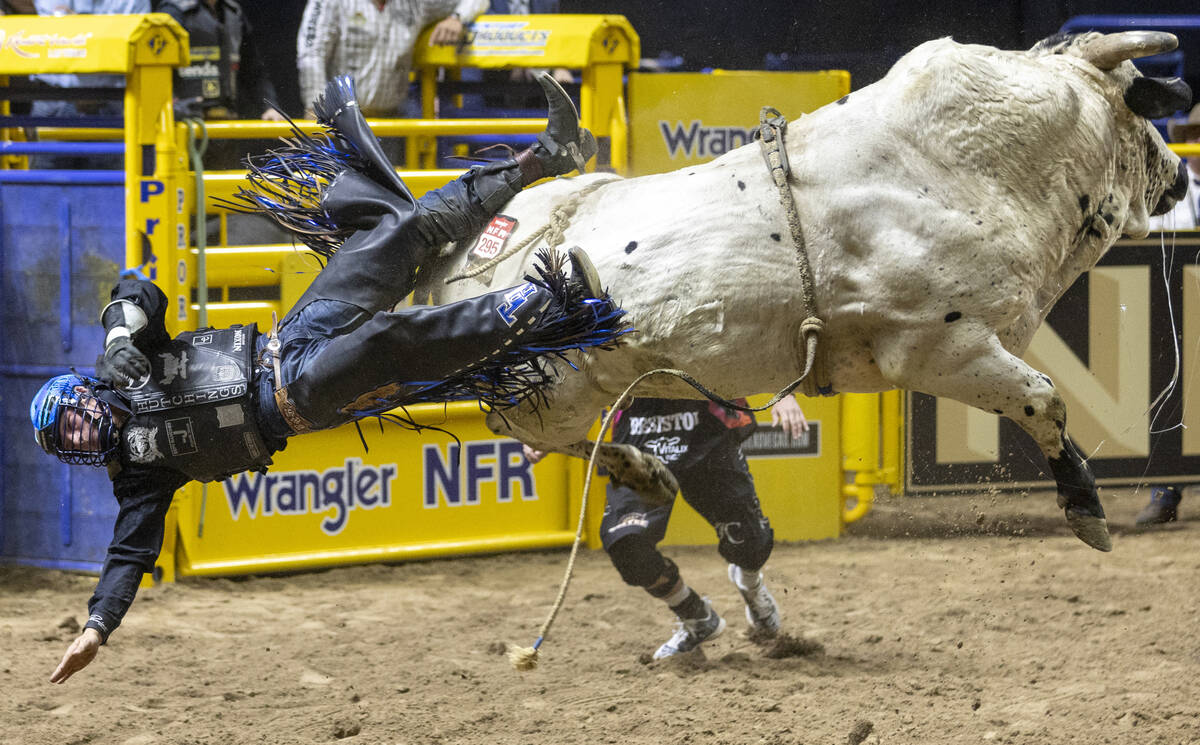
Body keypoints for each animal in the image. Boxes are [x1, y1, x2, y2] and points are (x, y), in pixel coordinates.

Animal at [412, 31, 1190, 549]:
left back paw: (646, 473)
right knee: (521, 429)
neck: (979, 163)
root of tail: (463, 259)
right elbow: (1044, 401)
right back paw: (638, 469)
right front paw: (1087, 509)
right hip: (550, 393)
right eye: (1144, 103)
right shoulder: (942, 347)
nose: (1182, 173)